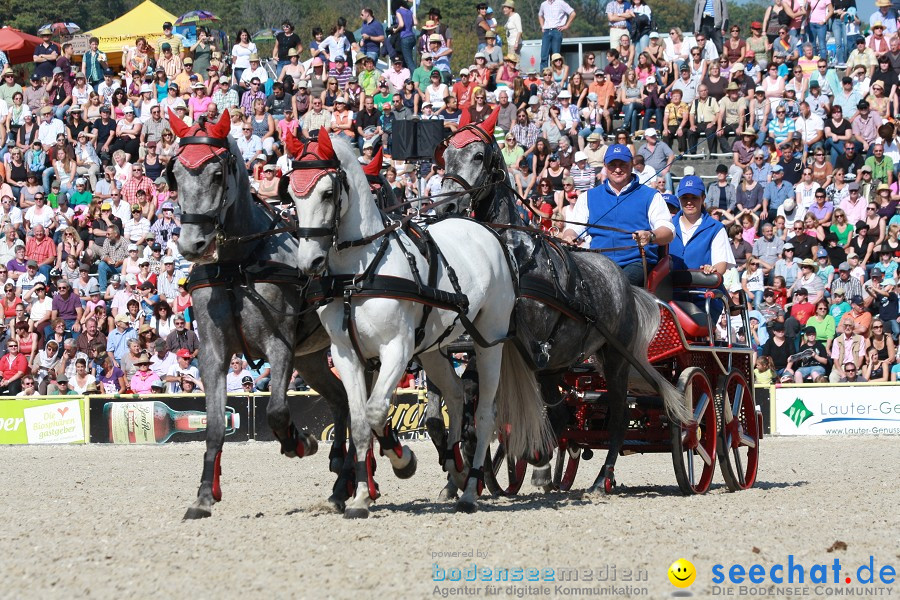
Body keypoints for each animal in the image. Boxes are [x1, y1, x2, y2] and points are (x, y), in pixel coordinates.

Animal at [165, 112, 352, 520]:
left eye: (217, 174)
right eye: (176, 174)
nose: (191, 245)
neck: (239, 265)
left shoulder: (279, 346)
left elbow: (278, 410)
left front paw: (301, 441)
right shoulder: (213, 353)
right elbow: (214, 425)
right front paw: (204, 496)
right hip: (311, 358)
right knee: (343, 399)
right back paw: (340, 475)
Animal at [288, 129, 556, 516]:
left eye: (327, 192)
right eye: (292, 194)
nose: (310, 261)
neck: (359, 273)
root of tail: (489, 233)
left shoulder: (396, 349)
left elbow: (376, 412)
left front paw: (403, 462)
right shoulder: (345, 354)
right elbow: (360, 422)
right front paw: (360, 497)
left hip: (489, 342)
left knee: (486, 415)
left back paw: (471, 489)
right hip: (433, 349)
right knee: (457, 396)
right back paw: (456, 470)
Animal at [428, 112, 688, 496]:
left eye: (478, 156)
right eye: (444, 158)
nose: (445, 206)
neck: (513, 259)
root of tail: (625, 283)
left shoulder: (522, 347)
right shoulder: (475, 345)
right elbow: (454, 408)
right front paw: (457, 475)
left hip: (616, 359)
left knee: (618, 418)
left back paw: (600, 477)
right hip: (562, 364)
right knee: (561, 410)